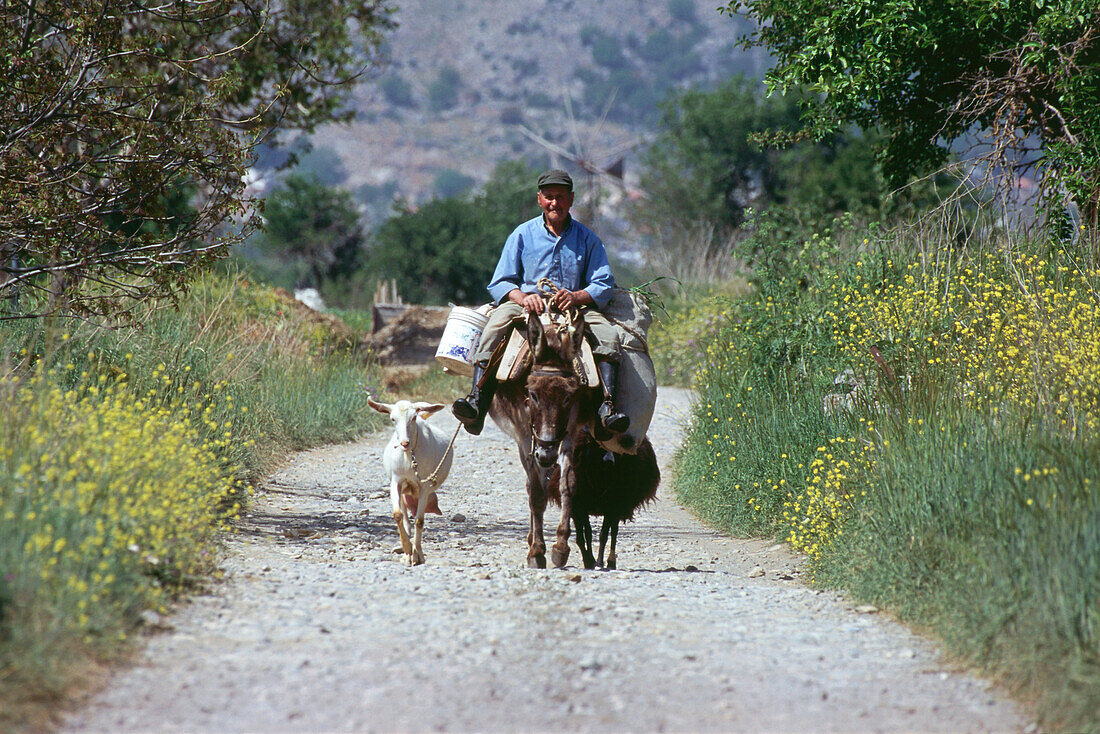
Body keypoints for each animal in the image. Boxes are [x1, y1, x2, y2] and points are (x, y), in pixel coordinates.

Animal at [369, 398, 455, 567]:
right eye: (392, 419)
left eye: (413, 418)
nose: (404, 443)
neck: (409, 457)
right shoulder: (396, 481)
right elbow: (397, 514)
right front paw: (408, 549)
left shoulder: (424, 485)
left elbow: (419, 521)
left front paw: (418, 555)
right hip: (403, 488)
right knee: (404, 513)